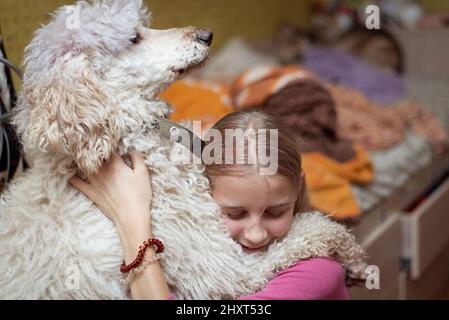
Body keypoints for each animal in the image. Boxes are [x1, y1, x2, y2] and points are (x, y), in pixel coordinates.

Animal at [0, 0, 364, 300]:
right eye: (134, 38)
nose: (206, 34)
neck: (129, 133)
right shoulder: (221, 267)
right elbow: (309, 229)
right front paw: (353, 255)